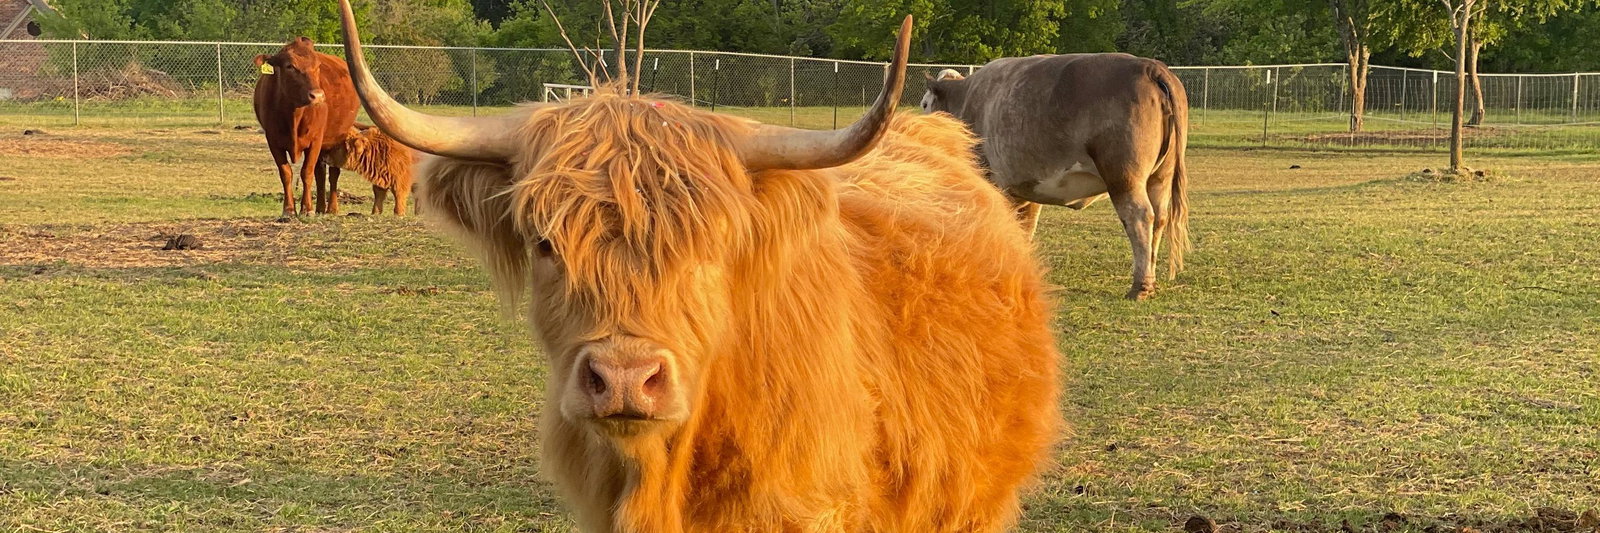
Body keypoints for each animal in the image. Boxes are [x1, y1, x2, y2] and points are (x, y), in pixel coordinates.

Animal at [252, 37, 361, 217]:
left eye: (317, 66)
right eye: (290, 66)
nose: (317, 95)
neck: (293, 115)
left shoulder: (315, 140)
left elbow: (306, 172)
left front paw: (306, 208)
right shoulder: (273, 141)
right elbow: (286, 173)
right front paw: (289, 209)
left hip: (337, 138)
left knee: (333, 172)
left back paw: (331, 208)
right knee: (320, 173)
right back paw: (320, 208)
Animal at [920, 54, 1191, 300]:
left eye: (924, 104)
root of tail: (1150, 67)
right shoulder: (1027, 187)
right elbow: (1025, 228)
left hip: (1124, 175)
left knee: (1139, 216)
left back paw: (1140, 286)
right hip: (1160, 176)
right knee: (1160, 218)